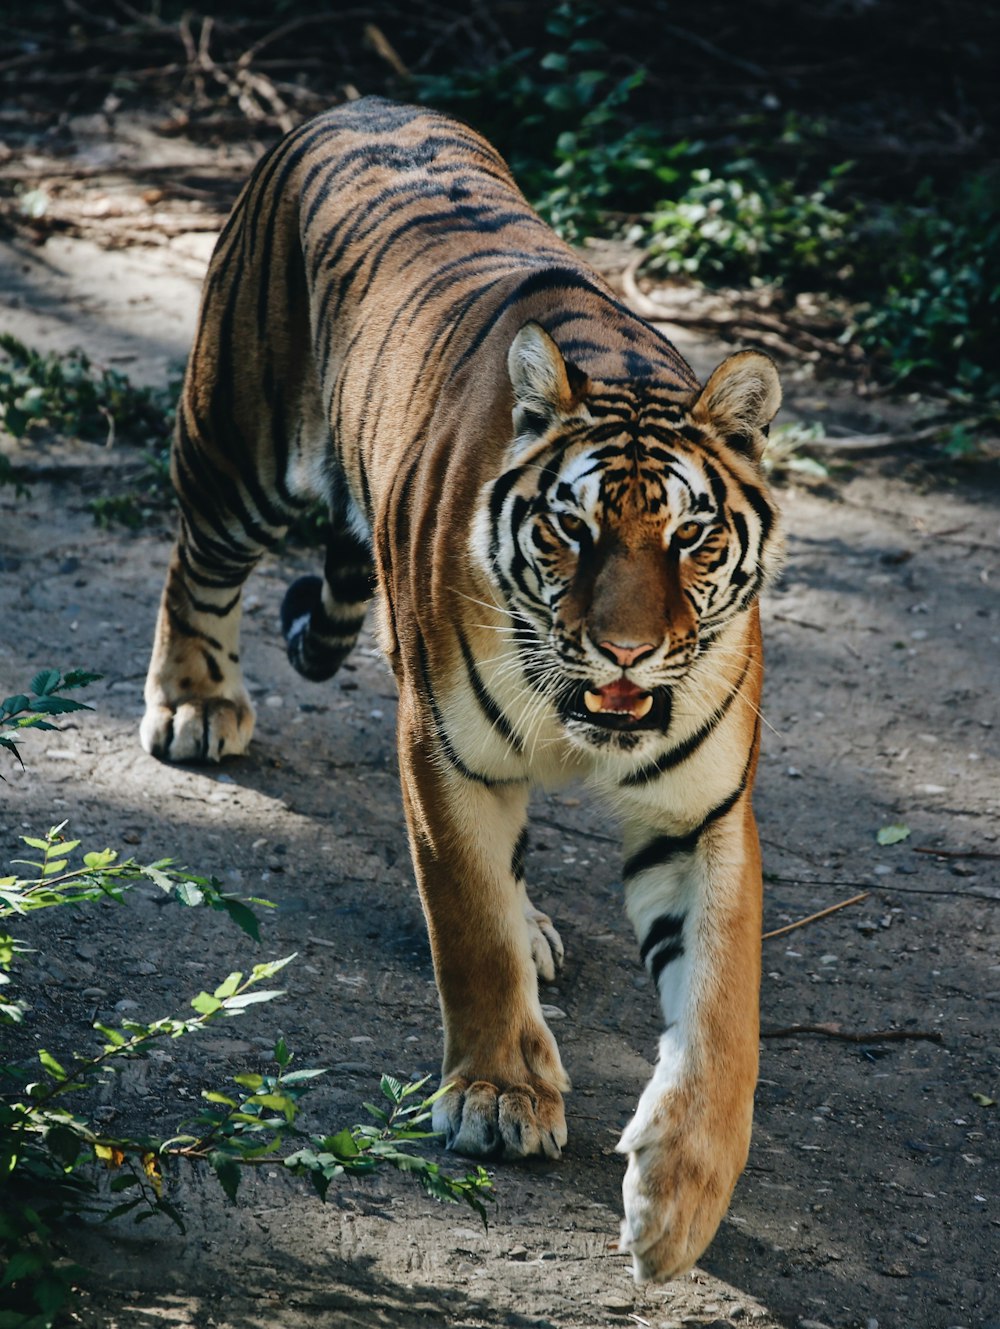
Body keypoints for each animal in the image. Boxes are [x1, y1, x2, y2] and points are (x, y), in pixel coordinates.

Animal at [138, 98, 781, 1281]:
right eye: (572, 529)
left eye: (690, 537)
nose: (624, 651)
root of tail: (357, 104)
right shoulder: (445, 753)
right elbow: (469, 926)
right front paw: (498, 1096)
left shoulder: (702, 811)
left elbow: (720, 1010)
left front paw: (678, 1199)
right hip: (235, 448)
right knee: (195, 561)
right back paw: (195, 703)